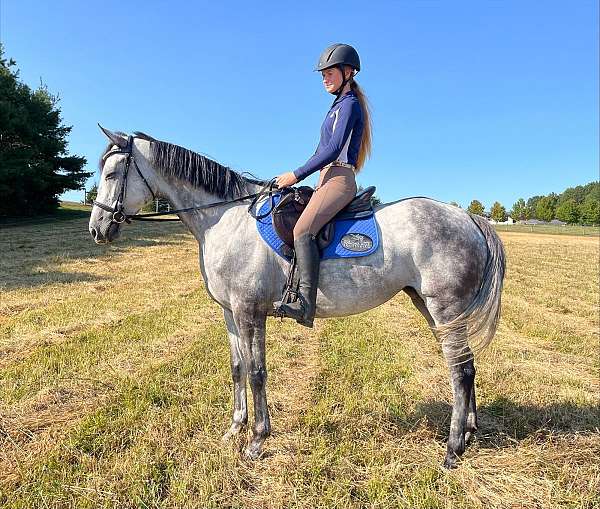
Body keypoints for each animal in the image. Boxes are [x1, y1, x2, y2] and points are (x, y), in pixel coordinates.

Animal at [88, 128, 502, 468]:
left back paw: (452, 450)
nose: (97, 229)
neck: (224, 220)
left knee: (460, 371)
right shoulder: (229, 313)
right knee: (465, 365)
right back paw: (468, 433)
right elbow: (237, 368)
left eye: (111, 175)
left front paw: (256, 441)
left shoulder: (250, 312)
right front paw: (234, 430)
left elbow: (257, 372)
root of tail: (468, 218)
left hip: (444, 307)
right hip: (433, 308)